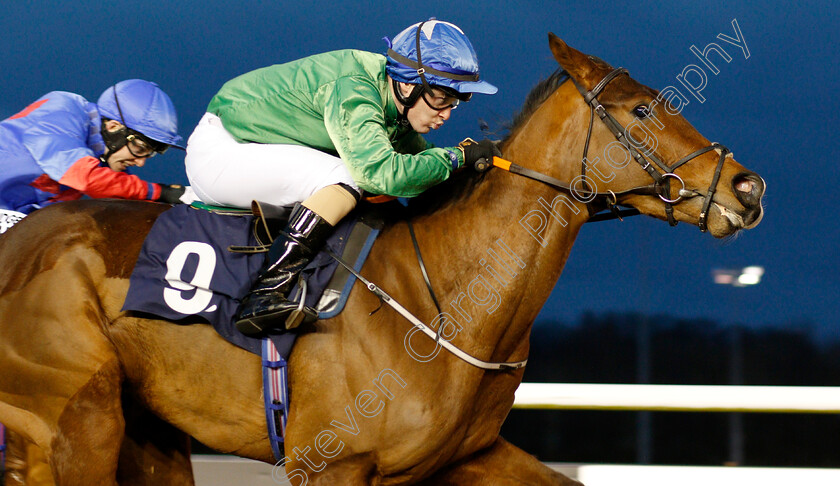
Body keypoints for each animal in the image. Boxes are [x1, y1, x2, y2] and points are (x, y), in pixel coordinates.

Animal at [0, 35, 764, 486]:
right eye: (641, 111)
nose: (747, 188)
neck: (446, 300)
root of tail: (23, 238)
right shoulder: (331, 462)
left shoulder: (462, 456)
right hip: (80, 419)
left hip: (146, 432)